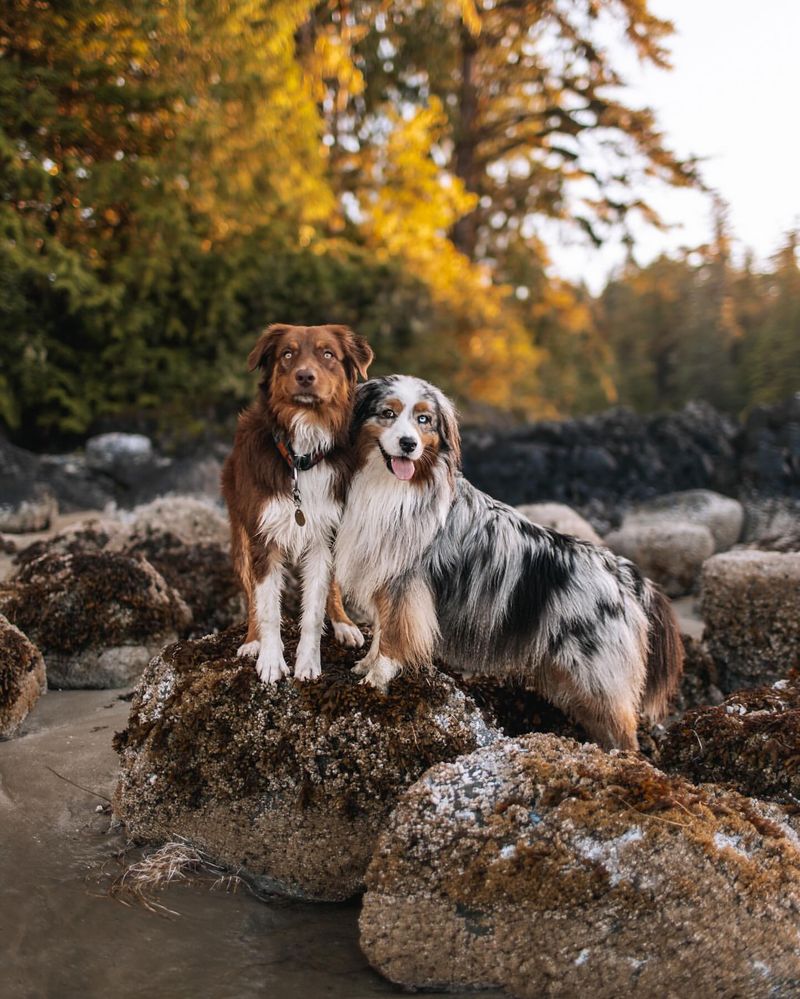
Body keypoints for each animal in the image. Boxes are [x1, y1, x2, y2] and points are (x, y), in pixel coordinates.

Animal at [223, 324, 374, 684]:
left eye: (328, 354)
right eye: (287, 354)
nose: (305, 376)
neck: (301, 455)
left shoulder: (324, 537)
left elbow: (314, 609)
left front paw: (307, 664)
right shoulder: (262, 538)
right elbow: (267, 608)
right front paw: (270, 660)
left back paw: (344, 624)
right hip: (241, 538)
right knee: (250, 595)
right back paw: (252, 641)